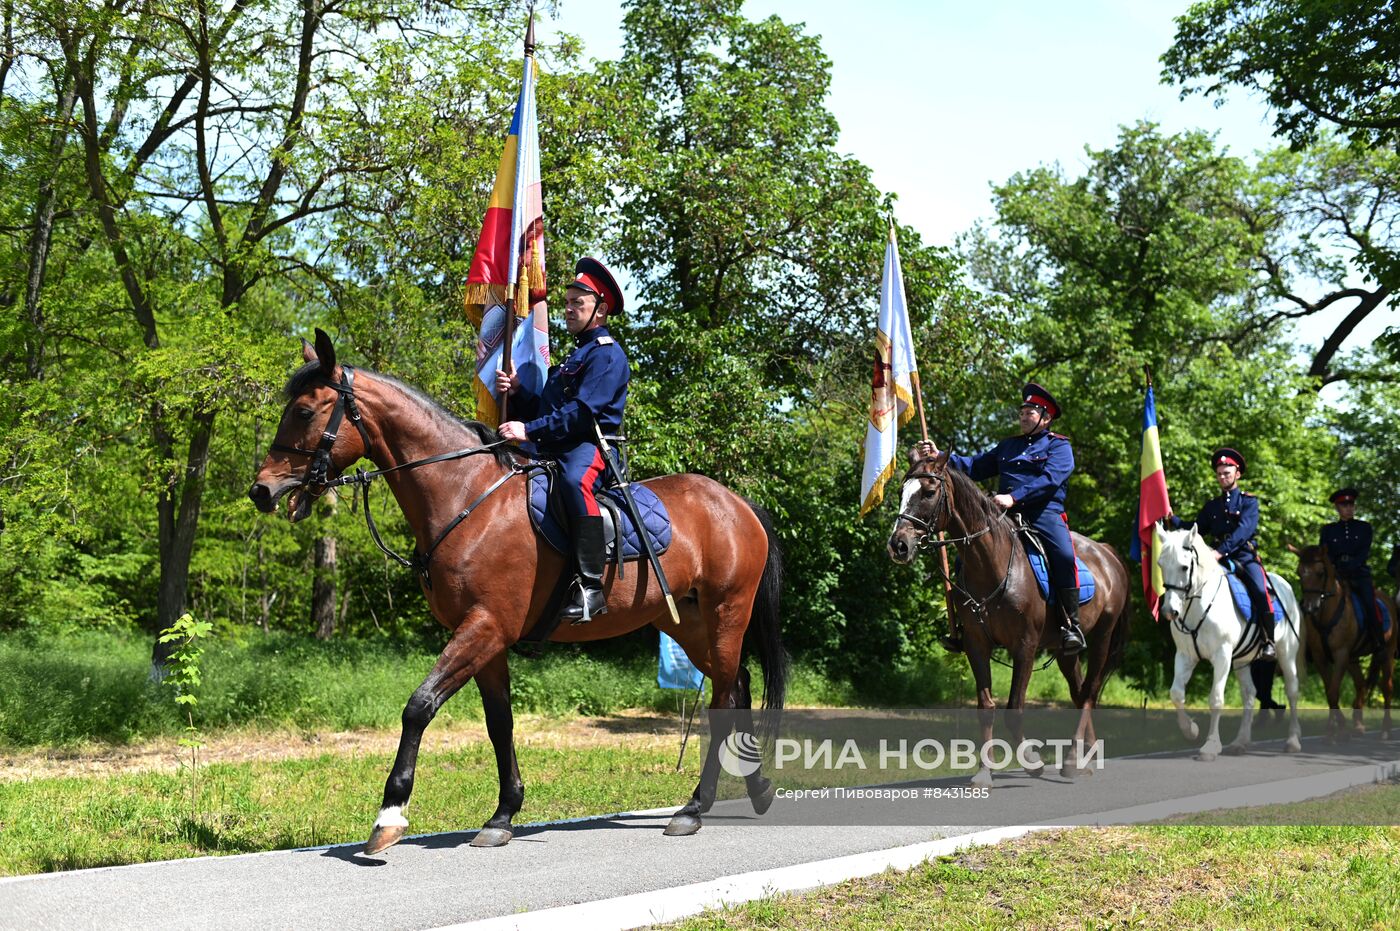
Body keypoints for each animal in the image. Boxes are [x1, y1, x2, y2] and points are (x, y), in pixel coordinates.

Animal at [245, 331, 784, 851]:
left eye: (305, 411)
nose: (261, 491)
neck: (466, 494)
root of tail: (738, 504)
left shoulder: (484, 627)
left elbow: (419, 706)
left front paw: (390, 815)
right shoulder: (488, 639)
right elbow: (498, 723)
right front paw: (503, 815)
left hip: (726, 614)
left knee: (724, 698)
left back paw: (695, 807)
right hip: (689, 625)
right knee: (736, 687)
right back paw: (751, 791)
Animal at [890, 448, 1131, 784]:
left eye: (928, 492)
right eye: (902, 492)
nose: (898, 545)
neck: (993, 563)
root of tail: (1108, 553)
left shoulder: (1024, 647)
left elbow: (1014, 709)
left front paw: (1032, 762)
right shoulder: (977, 645)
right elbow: (986, 706)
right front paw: (984, 772)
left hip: (1101, 640)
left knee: (1089, 693)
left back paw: (1072, 759)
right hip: (1065, 651)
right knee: (1079, 691)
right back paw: (1088, 757)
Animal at [1153, 518, 1304, 761]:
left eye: (1184, 567)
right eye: (1160, 564)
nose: (1169, 611)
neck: (1198, 604)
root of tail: (1285, 584)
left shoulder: (1221, 656)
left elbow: (1216, 699)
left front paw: (1210, 746)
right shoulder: (1185, 655)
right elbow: (1176, 694)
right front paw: (1190, 730)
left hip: (1286, 653)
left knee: (1292, 691)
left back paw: (1292, 740)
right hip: (1242, 660)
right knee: (1249, 695)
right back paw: (1240, 742)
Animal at [1282, 540, 1394, 739]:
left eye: (1320, 573)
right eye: (1299, 572)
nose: (1309, 607)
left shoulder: (1341, 654)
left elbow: (1334, 691)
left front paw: (1333, 731)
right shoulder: (1321, 657)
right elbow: (1329, 692)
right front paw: (1337, 726)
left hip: (1386, 653)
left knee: (1387, 687)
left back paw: (1386, 729)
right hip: (1353, 658)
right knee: (1360, 684)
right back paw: (1358, 725)